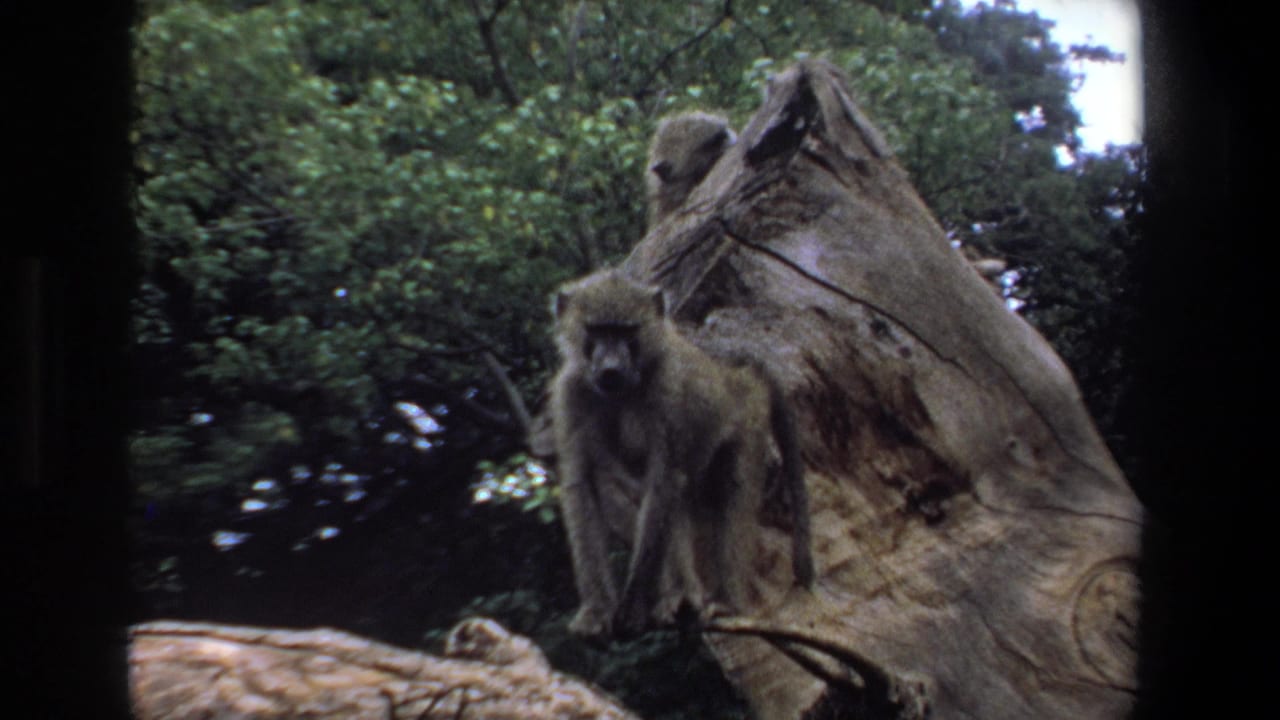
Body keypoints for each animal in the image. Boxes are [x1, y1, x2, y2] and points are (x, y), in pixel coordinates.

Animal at [549, 269, 813, 638]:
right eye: (598, 331)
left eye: (626, 332)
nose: (611, 368)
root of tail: (735, 369)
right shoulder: (572, 392)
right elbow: (582, 485)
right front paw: (597, 612)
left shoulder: (670, 391)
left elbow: (663, 481)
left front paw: (632, 606)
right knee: (639, 491)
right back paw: (682, 595)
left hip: (750, 418)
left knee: (730, 499)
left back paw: (723, 603)